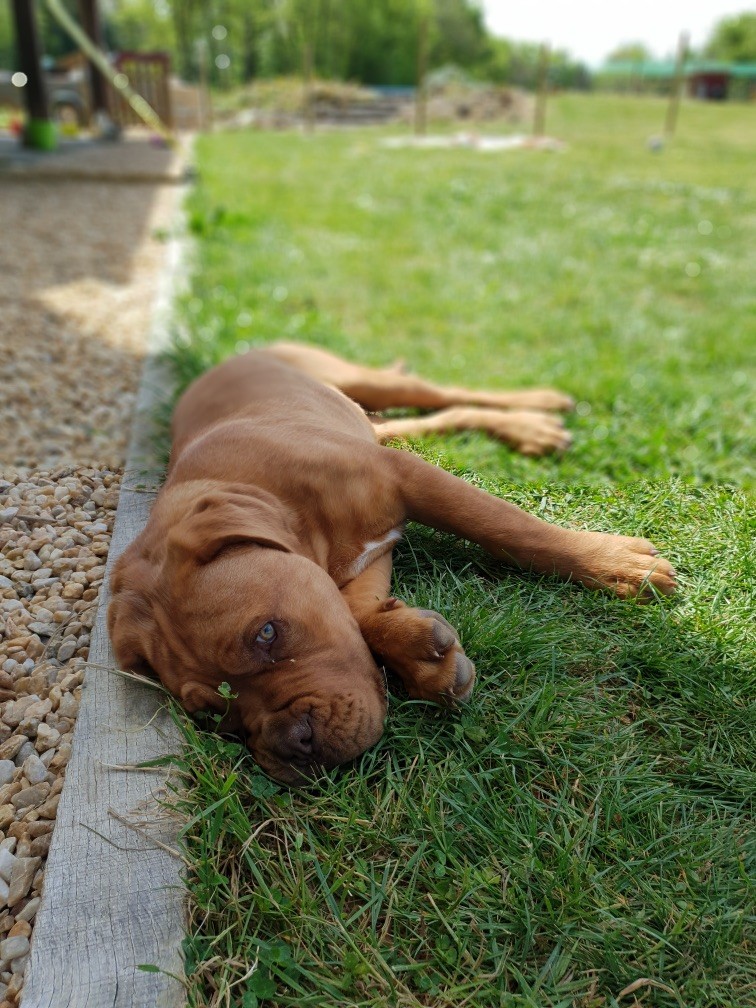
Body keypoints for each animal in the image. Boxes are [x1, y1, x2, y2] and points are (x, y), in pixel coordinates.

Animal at [107, 342, 681, 782]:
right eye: (212, 713)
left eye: (266, 634)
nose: (294, 744)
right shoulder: (365, 561)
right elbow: (361, 619)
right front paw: (421, 656)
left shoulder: (407, 479)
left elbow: (509, 528)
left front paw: (614, 565)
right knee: (434, 418)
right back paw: (530, 429)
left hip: (361, 381)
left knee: (445, 395)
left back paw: (537, 406)